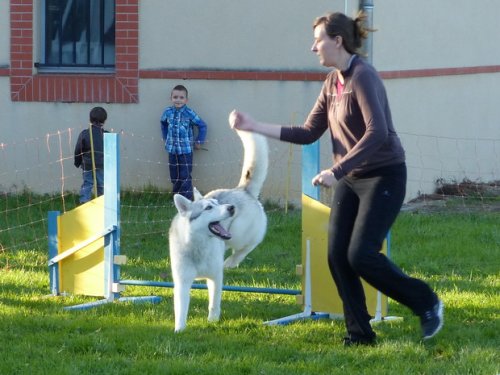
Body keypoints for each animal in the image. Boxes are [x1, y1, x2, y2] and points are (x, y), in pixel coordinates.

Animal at [168, 124, 268, 332]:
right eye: (208, 207)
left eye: (216, 203)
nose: (230, 207)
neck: (198, 245)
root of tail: (242, 189)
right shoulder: (182, 282)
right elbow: (181, 308)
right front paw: (179, 329)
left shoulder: (215, 277)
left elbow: (214, 302)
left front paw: (212, 320)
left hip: (240, 234)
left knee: (247, 246)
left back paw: (231, 261)